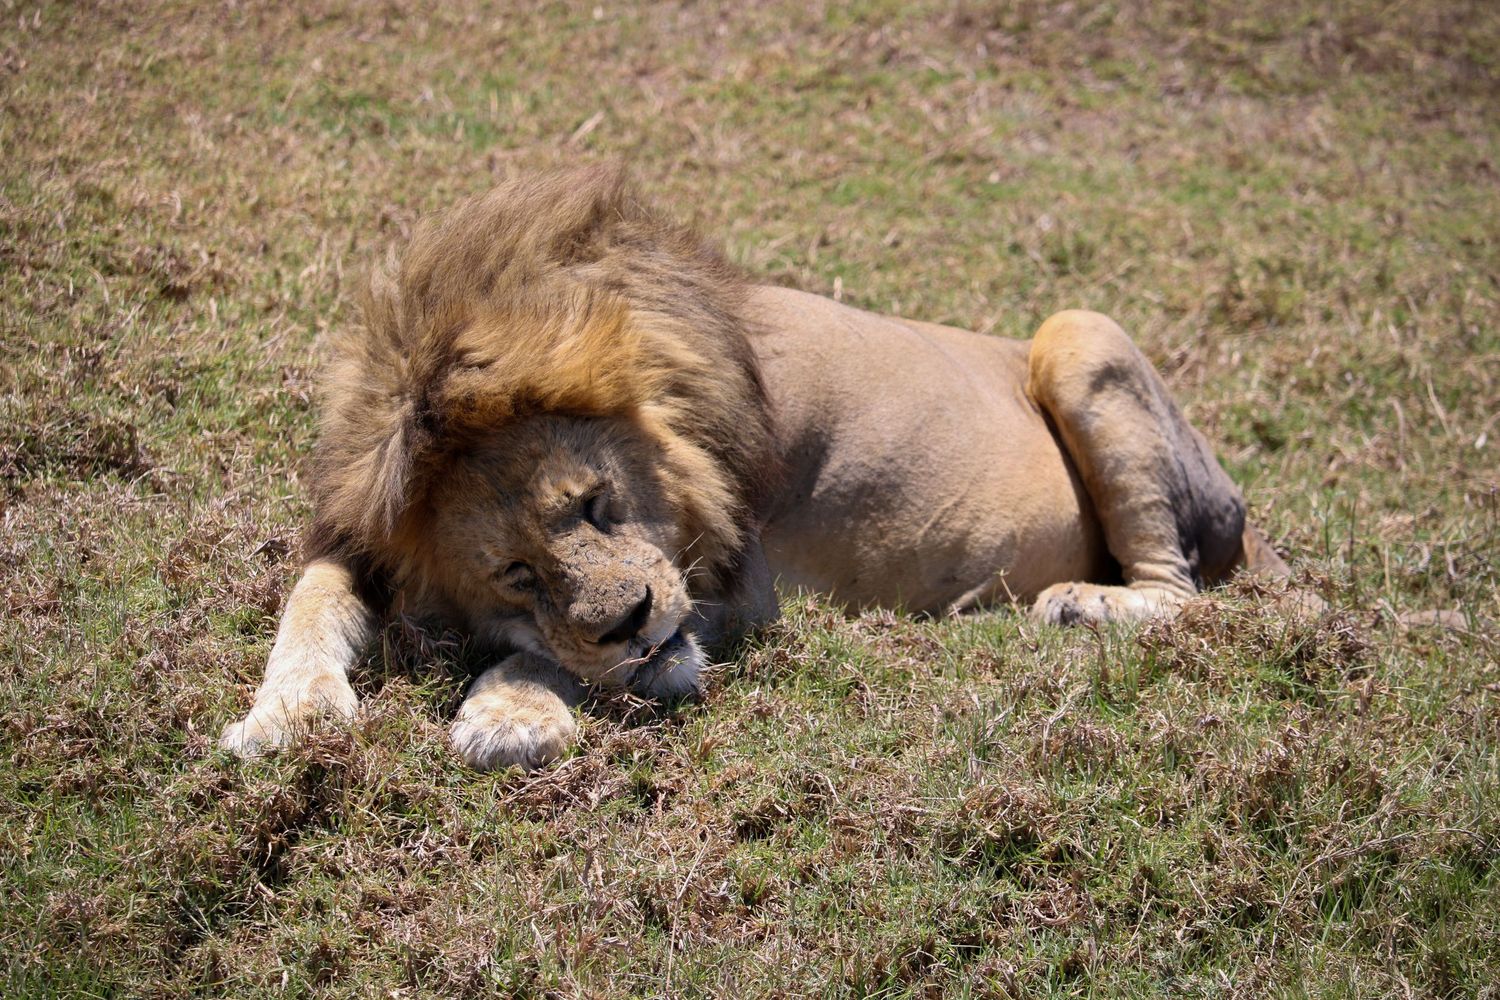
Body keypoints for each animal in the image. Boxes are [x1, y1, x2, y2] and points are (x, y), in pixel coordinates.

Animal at [220, 167, 1290, 771]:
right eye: (515, 572)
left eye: (598, 506)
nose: (628, 624)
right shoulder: (361, 523)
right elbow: (311, 597)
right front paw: (288, 713)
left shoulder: (744, 574)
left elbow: (546, 654)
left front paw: (511, 713)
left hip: (1078, 331)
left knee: (1181, 591)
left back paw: (1080, 605)